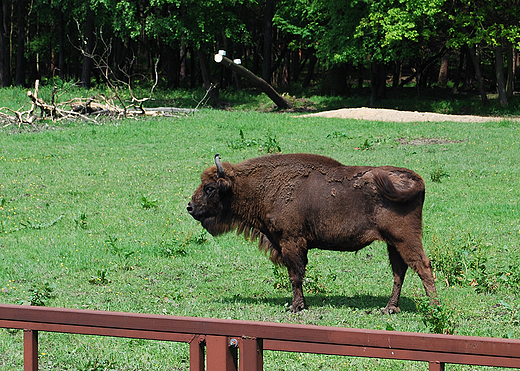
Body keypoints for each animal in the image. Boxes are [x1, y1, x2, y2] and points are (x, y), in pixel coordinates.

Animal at [187, 153, 438, 314]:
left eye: (209, 188)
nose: (190, 207)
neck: (263, 186)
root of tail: (416, 179)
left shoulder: (291, 242)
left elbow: (295, 275)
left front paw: (295, 307)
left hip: (405, 238)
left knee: (423, 266)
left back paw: (434, 308)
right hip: (392, 243)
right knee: (399, 272)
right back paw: (389, 308)